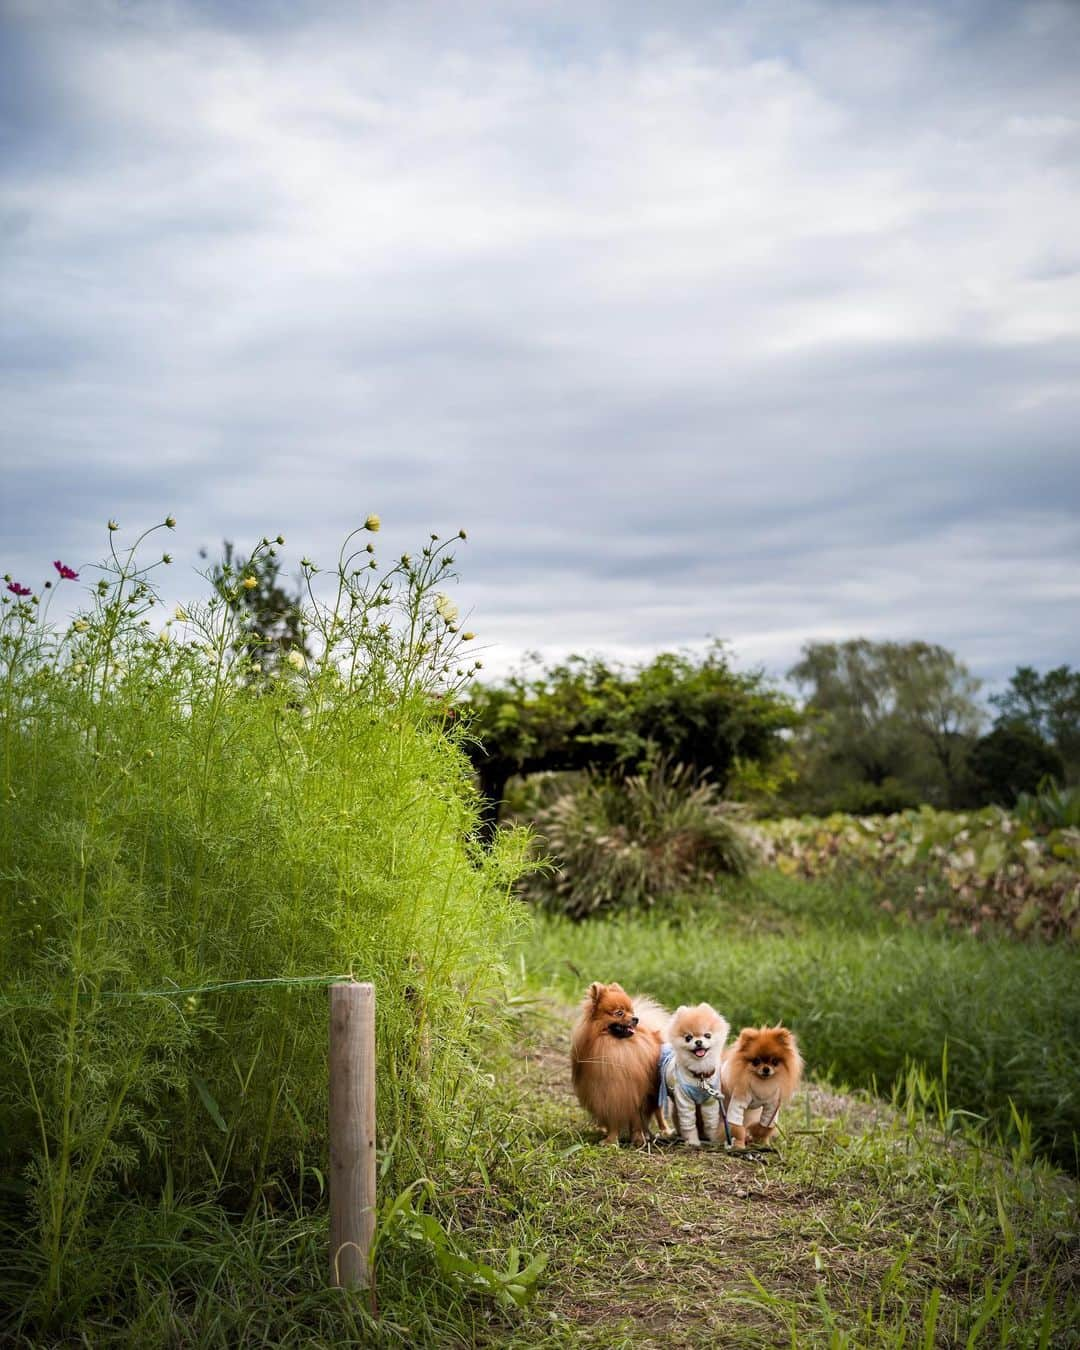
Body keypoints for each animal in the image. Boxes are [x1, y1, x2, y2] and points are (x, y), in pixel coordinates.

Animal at [572, 977, 666, 1144]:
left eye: (632, 1012)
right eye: (619, 1013)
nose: (636, 1019)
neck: (617, 1048)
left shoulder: (636, 1093)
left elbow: (636, 1120)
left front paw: (638, 1139)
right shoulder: (610, 1093)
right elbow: (613, 1120)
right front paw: (610, 1141)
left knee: (659, 1112)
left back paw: (665, 1131)